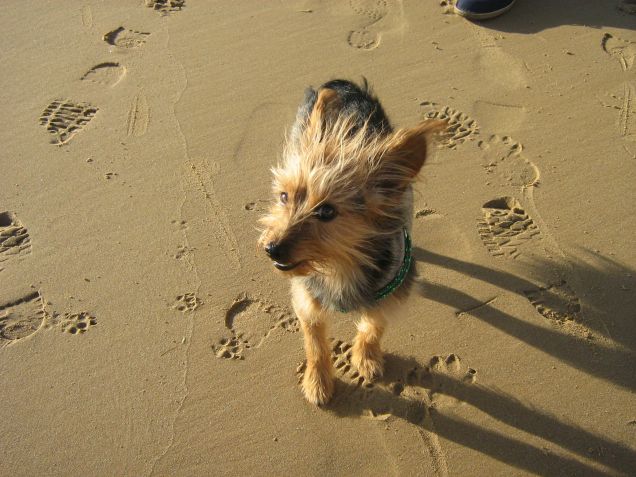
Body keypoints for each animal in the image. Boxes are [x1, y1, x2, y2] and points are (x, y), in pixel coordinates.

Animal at [256, 80, 444, 404]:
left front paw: (366, 359)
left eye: (327, 212)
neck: (339, 265)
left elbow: (373, 325)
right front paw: (318, 382)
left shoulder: (392, 287)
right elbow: (315, 342)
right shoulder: (307, 297)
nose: (271, 249)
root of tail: (343, 85)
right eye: (283, 196)